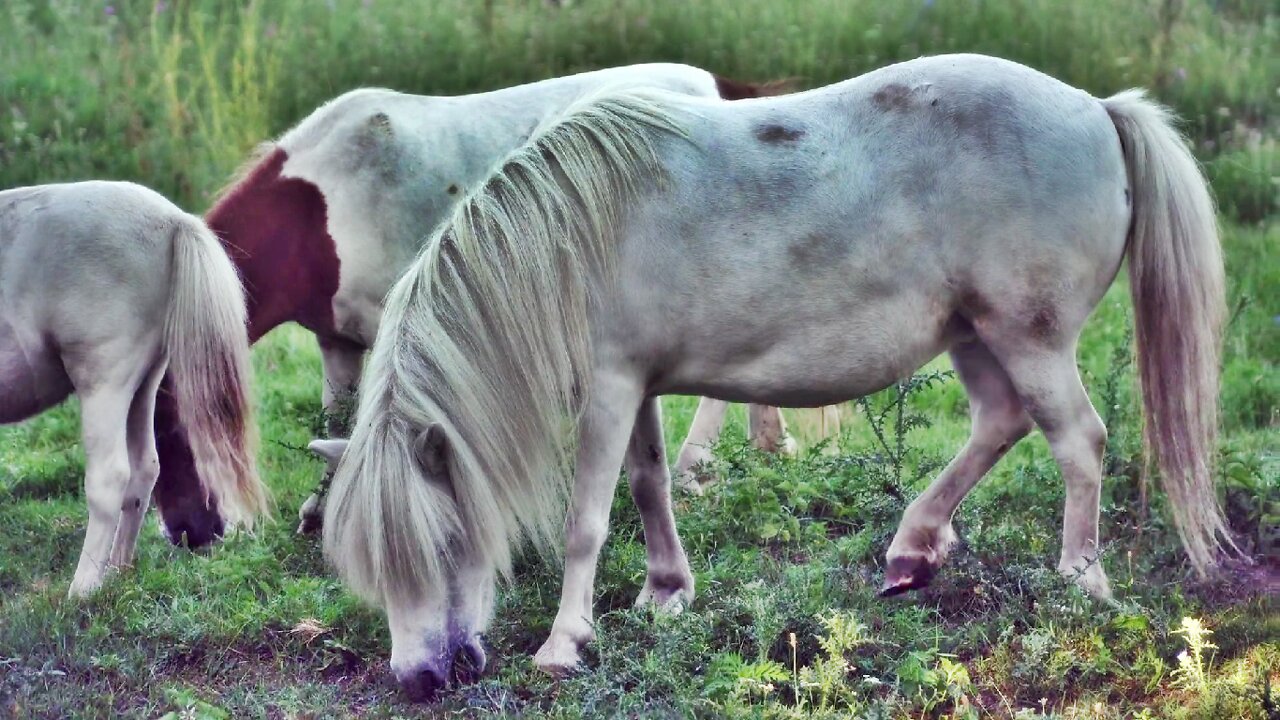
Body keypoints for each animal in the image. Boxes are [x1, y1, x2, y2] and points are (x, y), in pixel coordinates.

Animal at [0, 180, 264, 594]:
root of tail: (173, 220)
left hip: (104, 381)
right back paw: (119, 572)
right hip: (141, 386)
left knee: (110, 477)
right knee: (143, 472)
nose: (205, 535)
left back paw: (83, 590)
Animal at [149, 63, 788, 543]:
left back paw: (695, 470)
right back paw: (769, 451)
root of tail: (720, 92)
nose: (186, 534)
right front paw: (322, 508)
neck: (318, 209)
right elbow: (335, 419)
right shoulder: (337, 342)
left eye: (169, 431)